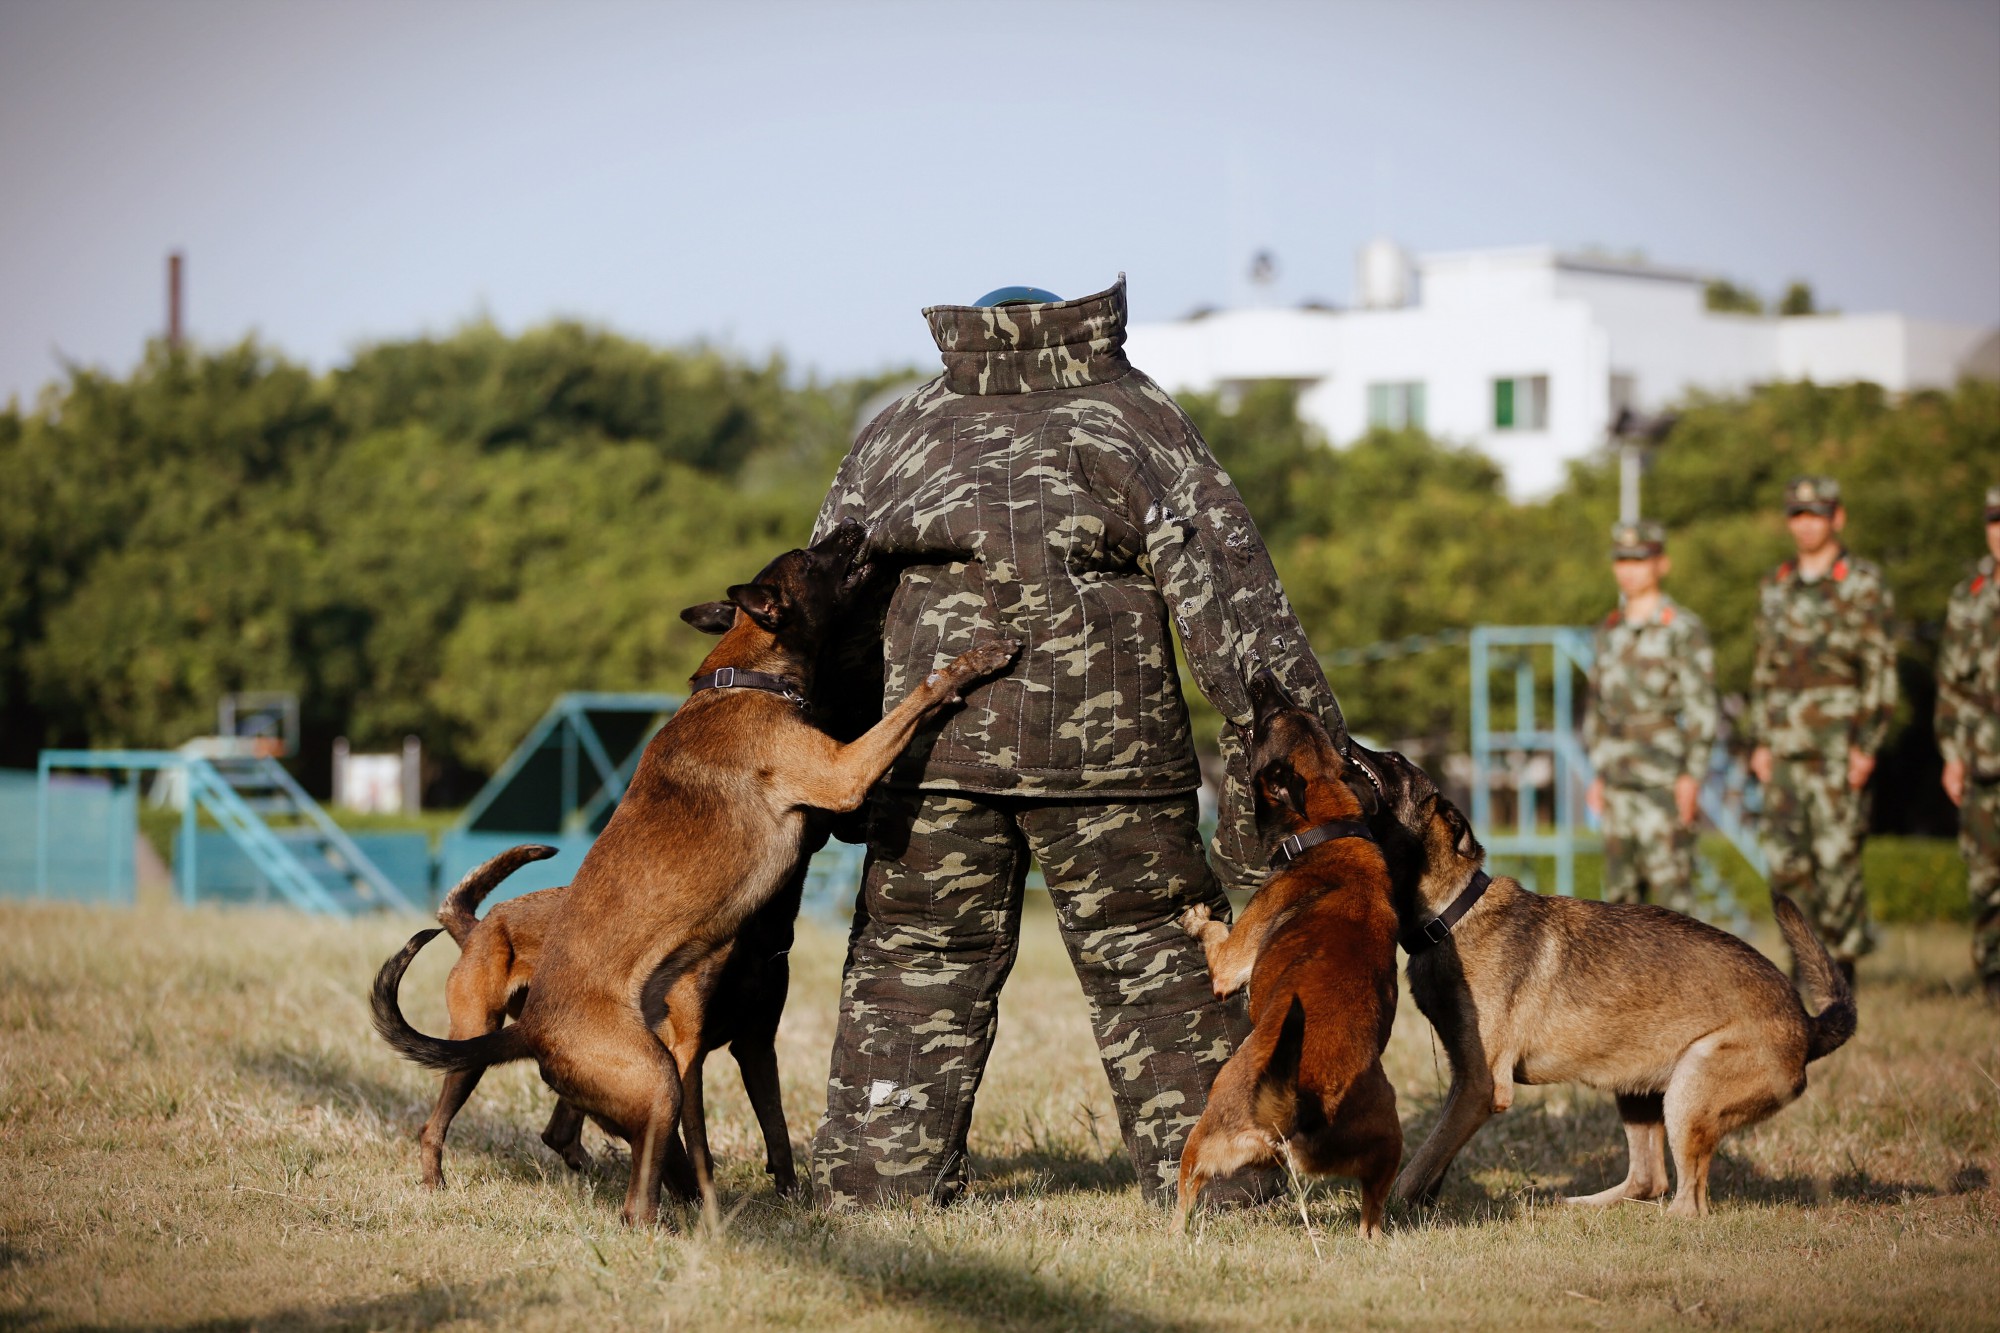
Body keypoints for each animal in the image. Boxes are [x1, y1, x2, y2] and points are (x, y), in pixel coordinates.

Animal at [376, 516, 1024, 1216]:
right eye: (813, 557)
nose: (854, 525)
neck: (745, 677)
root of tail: (536, 1028)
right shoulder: (843, 772)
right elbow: (915, 702)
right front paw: (973, 662)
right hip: (645, 1073)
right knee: (614, 1184)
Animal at [1168, 668, 1408, 1232]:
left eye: (1271, 718)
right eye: (1300, 713)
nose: (1259, 676)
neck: (1325, 828)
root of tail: (1298, 1109)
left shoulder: (1231, 962)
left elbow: (1216, 937)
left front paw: (1196, 917)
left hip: (1200, 1140)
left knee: (1184, 1196)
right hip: (1387, 1150)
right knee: (1371, 1222)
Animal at [1344, 748, 1856, 1216]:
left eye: (1393, 760)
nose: (1348, 741)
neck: (1452, 913)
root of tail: (1807, 1024)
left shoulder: (1478, 1088)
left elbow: (1419, 1163)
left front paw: (1389, 1210)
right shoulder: (1464, 1084)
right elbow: (1437, 1157)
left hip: (1689, 1092)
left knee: (1690, 1202)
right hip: (1637, 1089)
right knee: (1649, 1179)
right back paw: (1577, 1205)